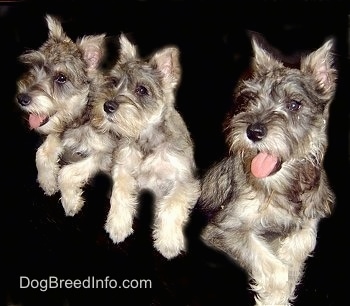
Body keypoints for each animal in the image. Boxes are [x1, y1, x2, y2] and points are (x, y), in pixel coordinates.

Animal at [91, 34, 200, 260]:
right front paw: (118, 224)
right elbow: (121, 193)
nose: (108, 106)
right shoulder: (123, 166)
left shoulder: (184, 181)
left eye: (142, 90)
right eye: (114, 82)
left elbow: (172, 205)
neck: (146, 138)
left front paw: (168, 241)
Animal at [200, 34, 336, 304]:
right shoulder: (224, 228)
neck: (281, 188)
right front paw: (274, 296)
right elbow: (273, 266)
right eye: (251, 99)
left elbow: (301, 245)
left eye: (294, 104)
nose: (253, 132)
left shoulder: (309, 218)